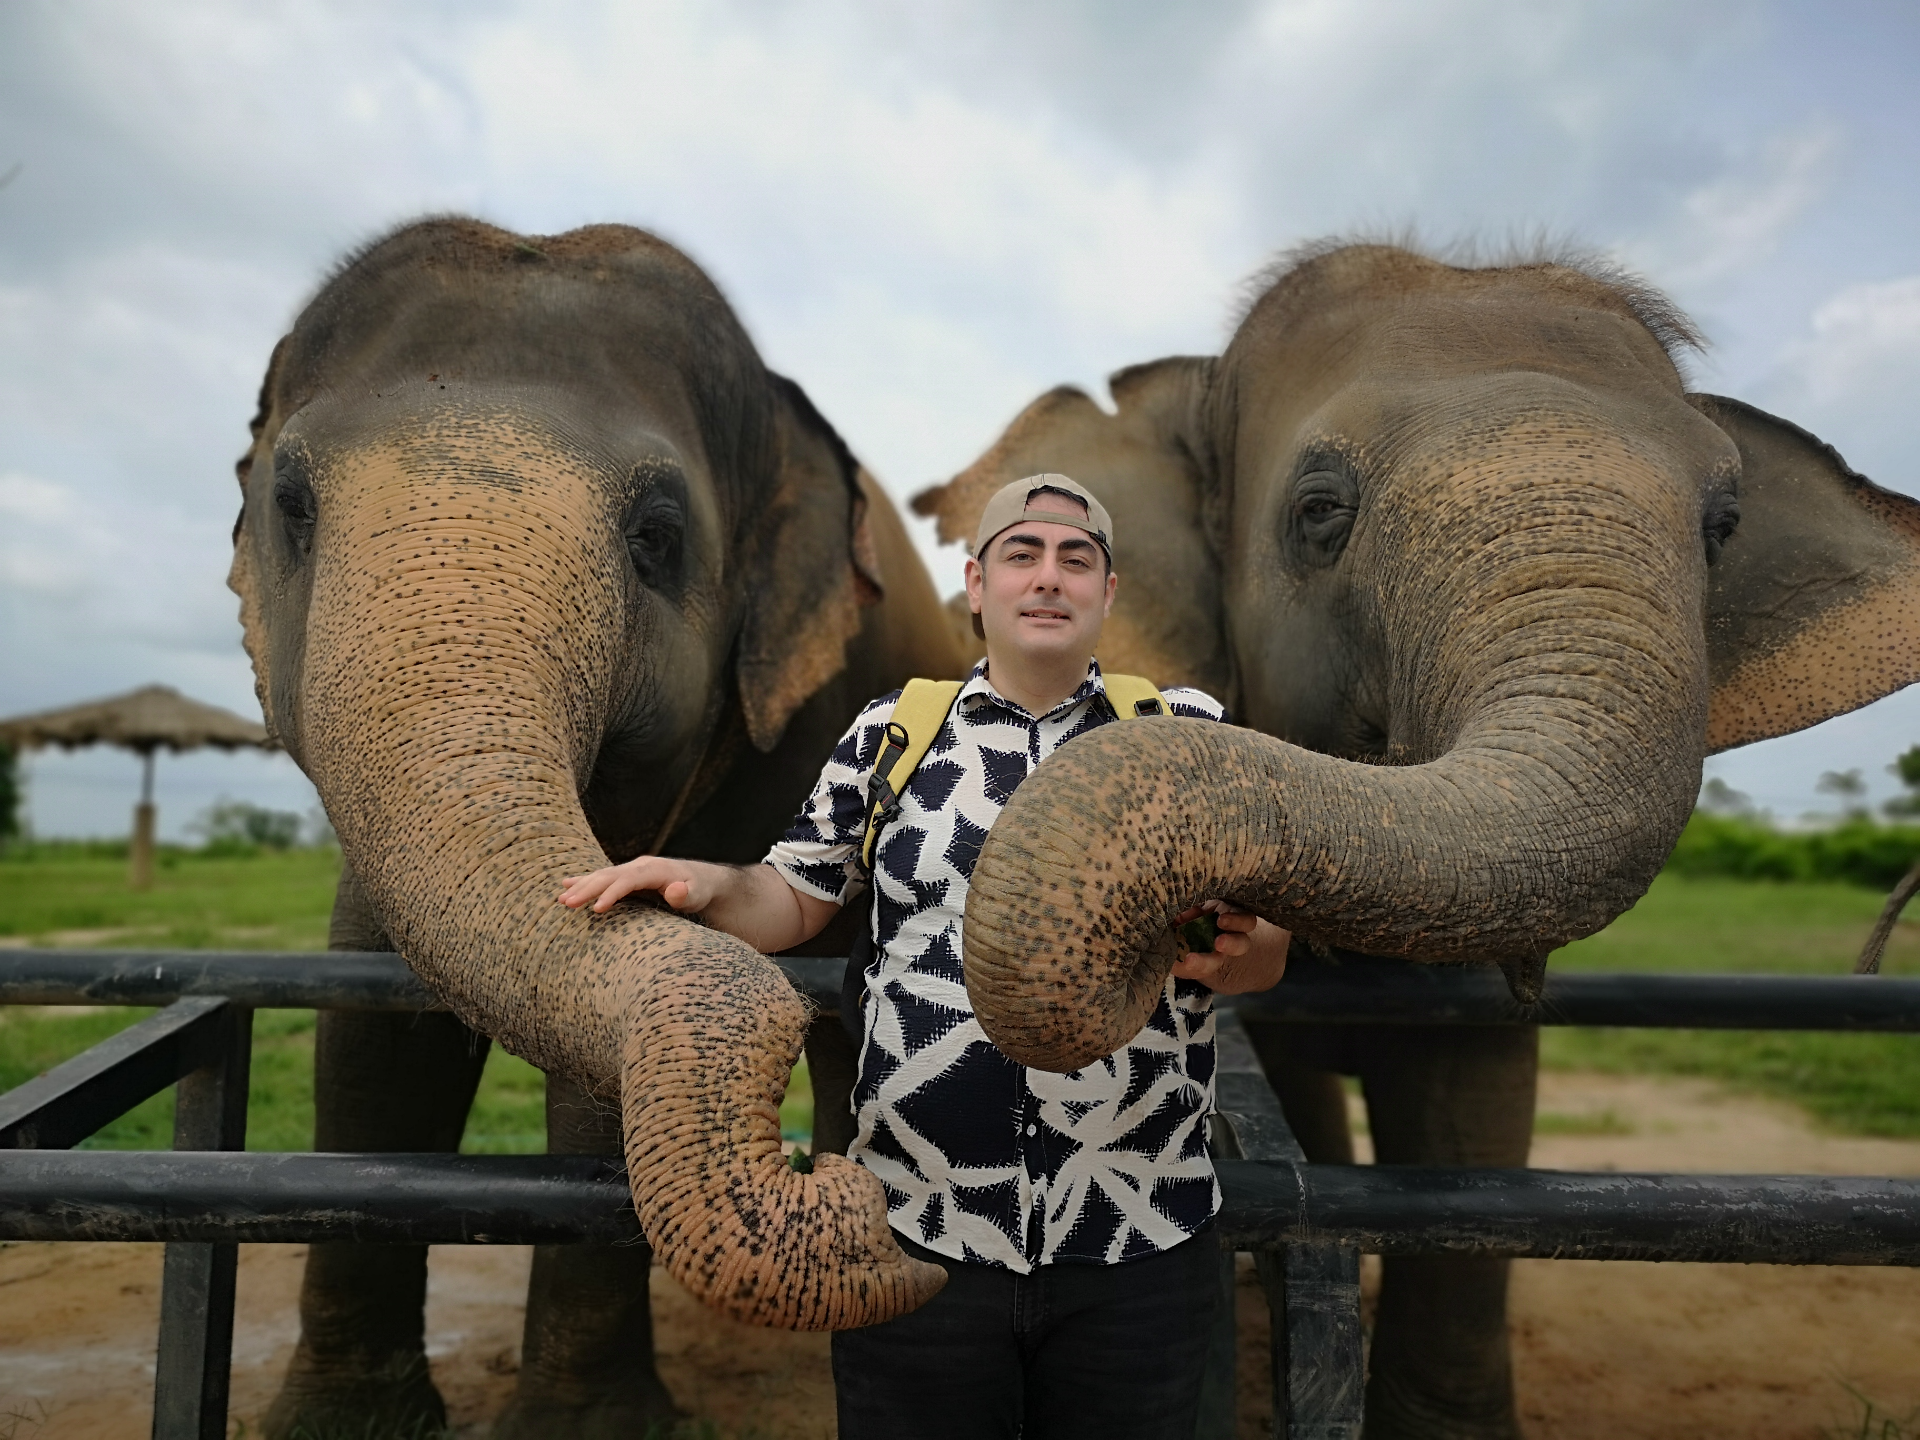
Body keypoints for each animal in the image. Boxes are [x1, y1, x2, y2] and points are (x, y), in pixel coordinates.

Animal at [227, 217, 959, 1437]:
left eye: (656, 535)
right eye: (292, 506)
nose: (838, 1200)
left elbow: (592, 1075)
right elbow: (372, 1033)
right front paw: (336, 1423)